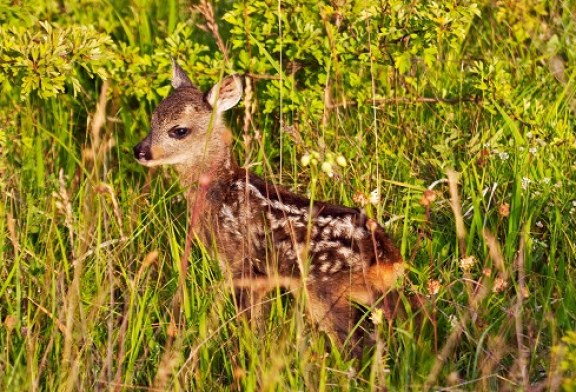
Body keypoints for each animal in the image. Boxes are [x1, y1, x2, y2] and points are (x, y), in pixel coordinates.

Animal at [133, 59, 408, 356]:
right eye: (152, 119)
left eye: (179, 130)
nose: (140, 151)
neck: (219, 190)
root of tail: (390, 258)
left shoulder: (239, 261)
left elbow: (251, 320)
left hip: (323, 290)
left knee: (353, 343)